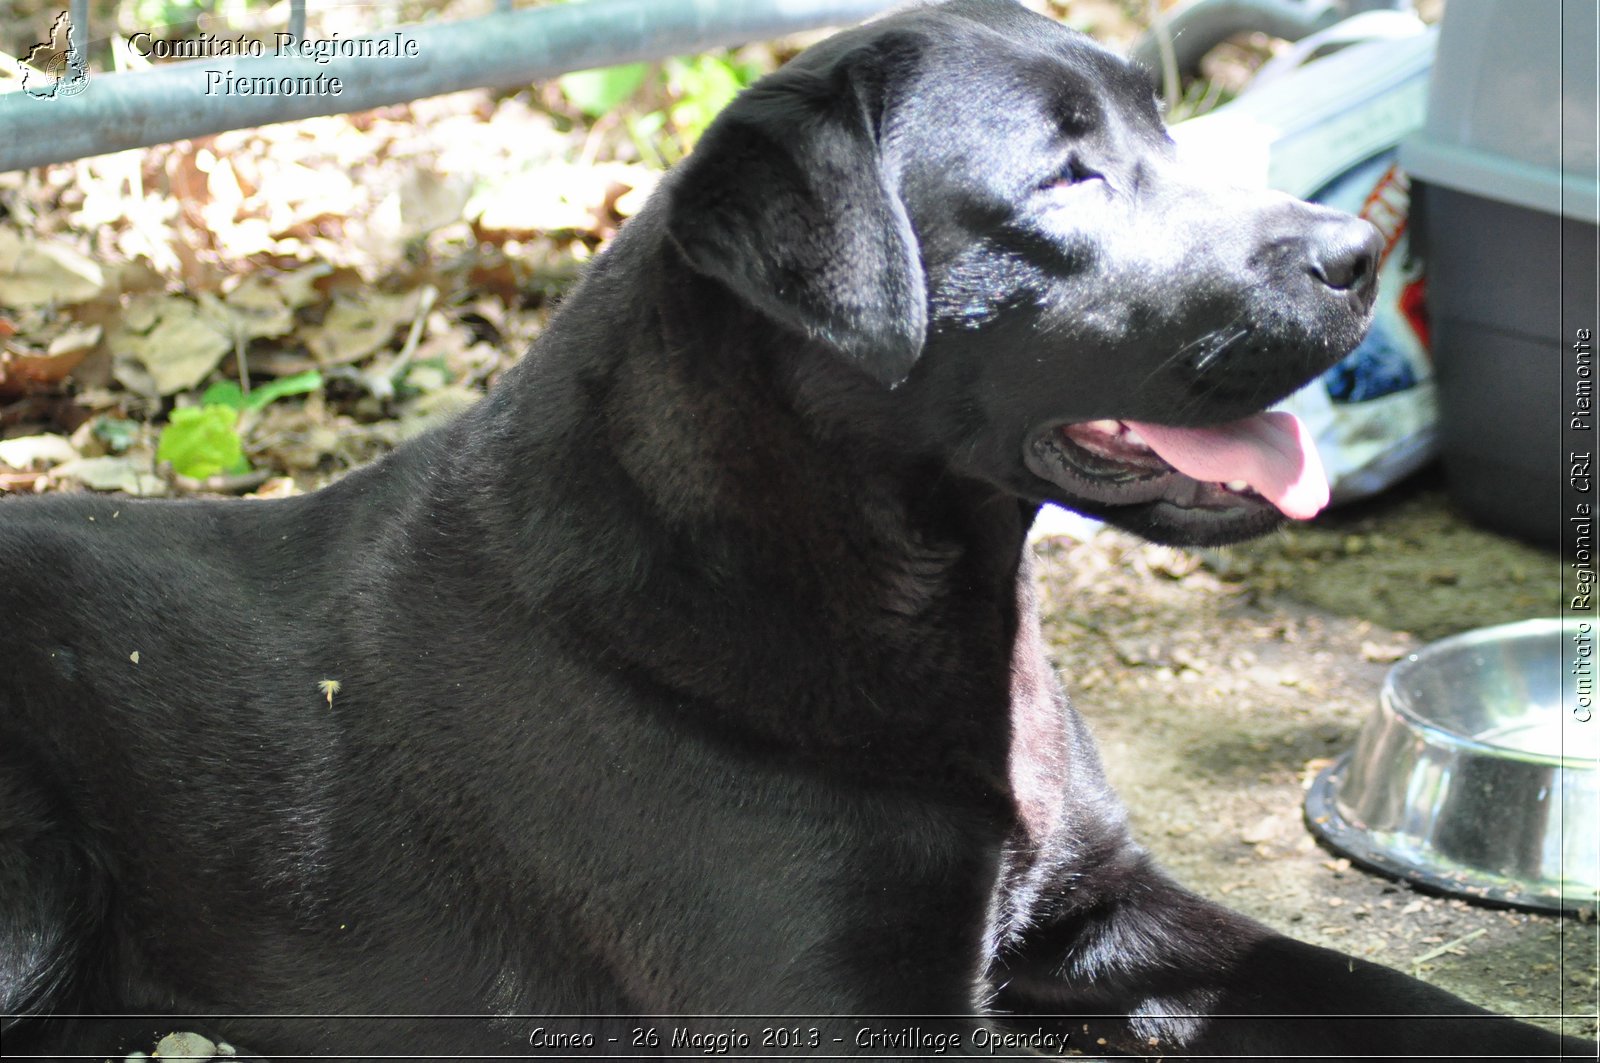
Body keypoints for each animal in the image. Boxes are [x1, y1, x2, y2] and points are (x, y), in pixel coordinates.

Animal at [0, 4, 1587, 1056]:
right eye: (1065, 174)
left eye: (1161, 125)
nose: (1361, 252)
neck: (900, 595)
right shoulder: (831, 1013)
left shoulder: (1100, 910)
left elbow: (1392, 992)